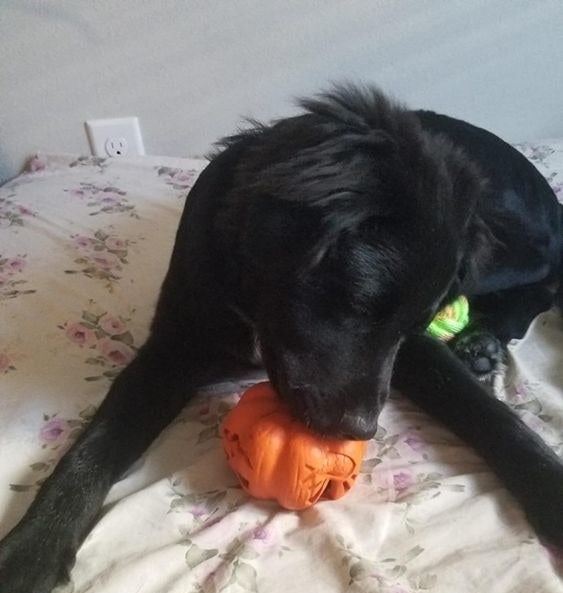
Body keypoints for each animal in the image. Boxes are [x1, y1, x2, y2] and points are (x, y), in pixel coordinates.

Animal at [1, 84, 563, 592]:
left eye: (410, 326)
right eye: (359, 302)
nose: (363, 429)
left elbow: (487, 412)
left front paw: (548, 484)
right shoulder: (171, 345)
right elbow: (95, 442)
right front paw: (31, 547)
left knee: (545, 280)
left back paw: (483, 341)